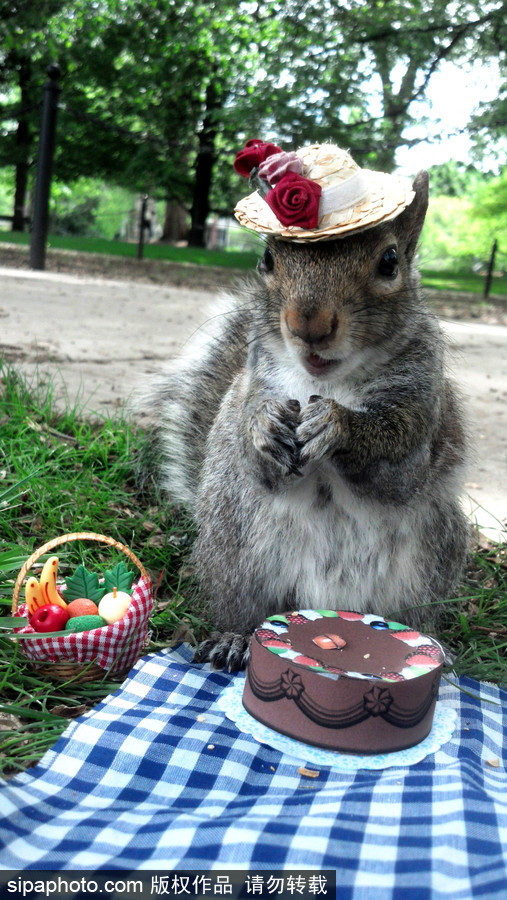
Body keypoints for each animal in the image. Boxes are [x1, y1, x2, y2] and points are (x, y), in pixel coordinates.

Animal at [141, 142, 470, 668]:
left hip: (429, 562)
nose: (308, 323)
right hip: (235, 552)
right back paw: (234, 639)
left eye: (390, 261)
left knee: (412, 616)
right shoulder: (254, 384)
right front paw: (263, 429)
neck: (330, 381)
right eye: (267, 258)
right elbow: (253, 449)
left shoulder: (422, 417)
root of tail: (327, 603)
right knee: (244, 610)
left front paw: (338, 426)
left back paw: (436, 651)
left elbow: (395, 470)